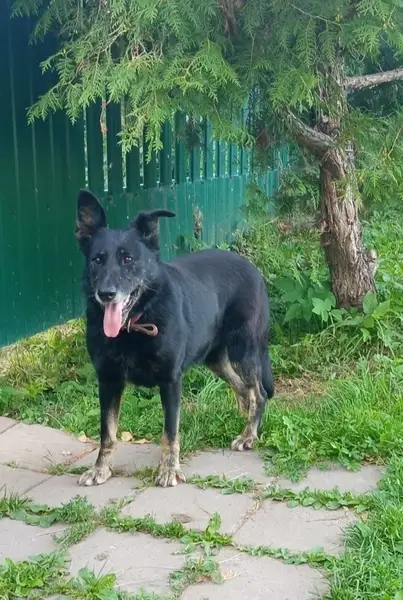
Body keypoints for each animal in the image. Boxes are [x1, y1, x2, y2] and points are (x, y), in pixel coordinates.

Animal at [75, 189, 274, 487]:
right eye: (97, 260)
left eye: (127, 259)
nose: (106, 294)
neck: (135, 324)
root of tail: (251, 266)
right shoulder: (108, 381)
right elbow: (107, 432)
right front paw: (101, 469)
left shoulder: (170, 381)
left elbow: (170, 432)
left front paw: (169, 470)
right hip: (214, 358)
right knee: (242, 388)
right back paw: (244, 416)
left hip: (245, 351)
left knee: (258, 392)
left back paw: (249, 433)